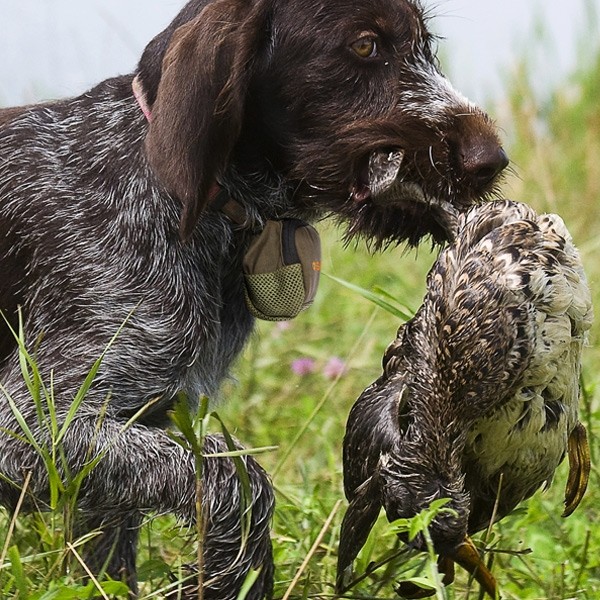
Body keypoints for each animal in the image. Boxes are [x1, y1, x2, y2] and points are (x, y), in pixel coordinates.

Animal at [0, 0, 506, 596]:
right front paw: (236, 573)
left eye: (425, 44)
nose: (492, 159)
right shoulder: (34, 428)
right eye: (365, 45)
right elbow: (236, 478)